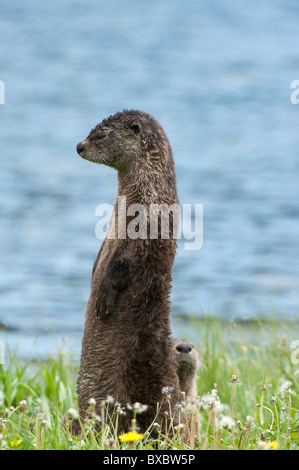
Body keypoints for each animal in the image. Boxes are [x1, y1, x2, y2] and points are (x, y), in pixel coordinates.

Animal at [76, 109, 182, 434]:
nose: (79, 146)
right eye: (90, 130)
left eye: (100, 135)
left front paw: (104, 298)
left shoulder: (148, 228)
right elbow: (100, 259)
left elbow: (123, 266)